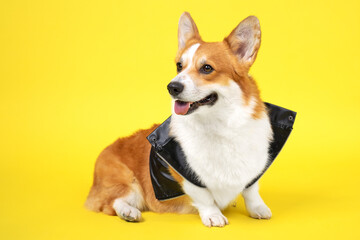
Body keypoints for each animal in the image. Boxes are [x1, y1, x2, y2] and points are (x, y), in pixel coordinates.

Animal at [86, 12, 274, 228]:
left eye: (207, 68)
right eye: (179, 66)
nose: (172, 87)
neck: (220, 123)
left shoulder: (254, 167)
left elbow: (251, 190)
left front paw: (258, 208)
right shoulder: (184, 172)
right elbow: (205, 196)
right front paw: (213, 215)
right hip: (128, 183)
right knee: (112, 202)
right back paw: (128, 212)